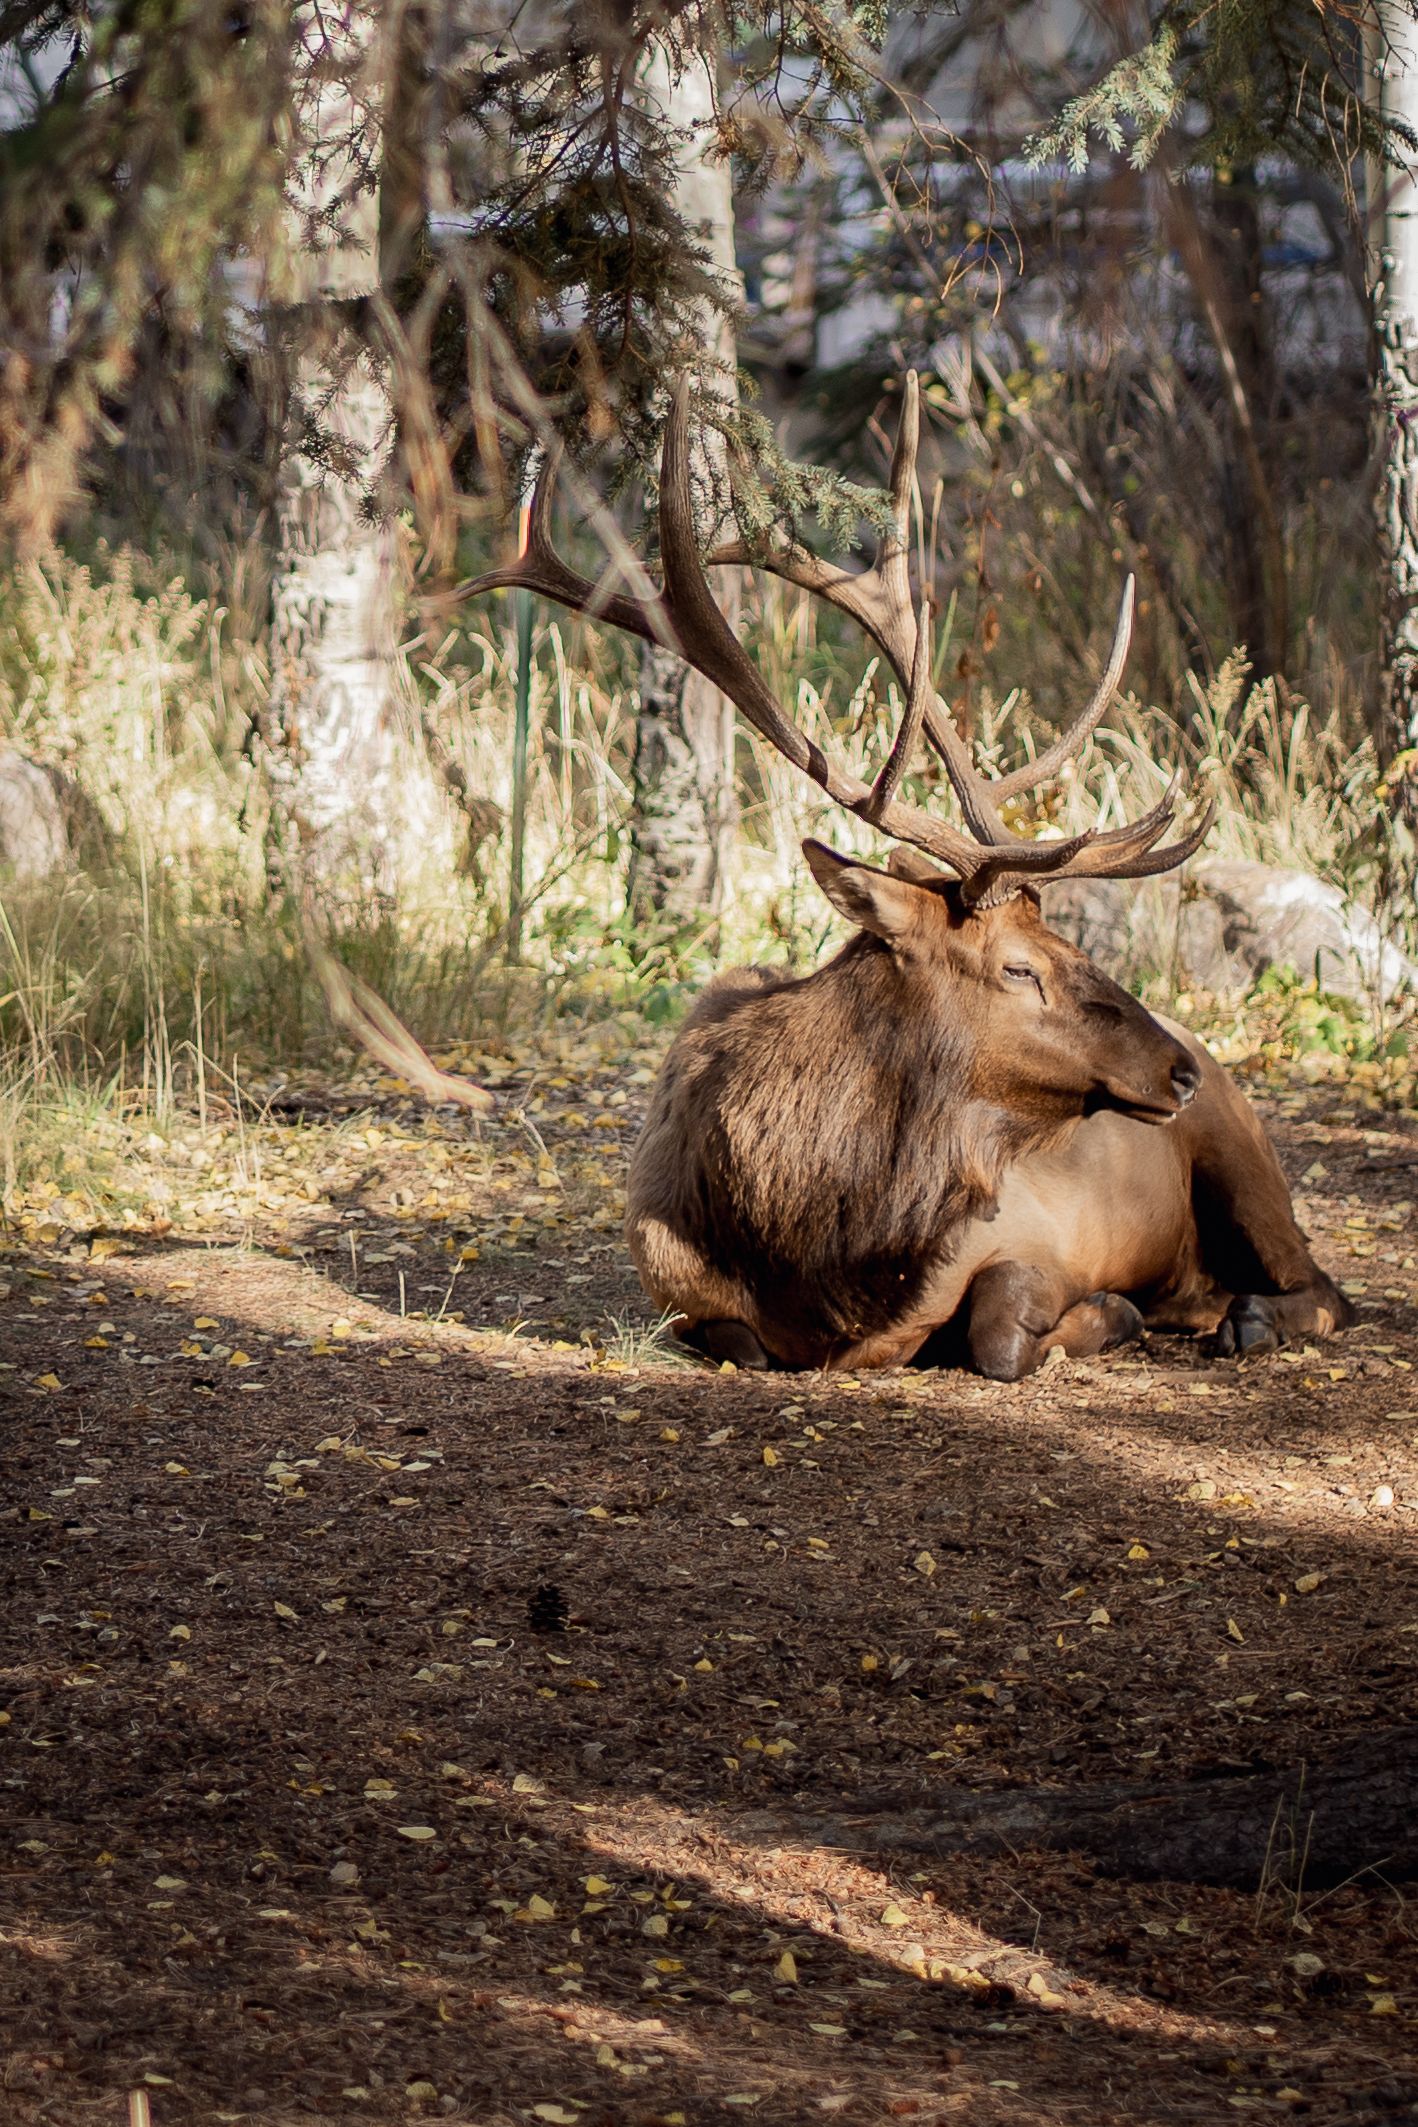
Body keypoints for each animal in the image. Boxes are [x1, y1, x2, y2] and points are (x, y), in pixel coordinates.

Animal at [465, 374, 1351, 1378]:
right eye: (1019, 966)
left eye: (1065, 938)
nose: (1180, 1068)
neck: (812, 1242)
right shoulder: (679, 1293)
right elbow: (739, 1340)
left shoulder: (1029, 1231)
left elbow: (998, 1332)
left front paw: (1104, 1313)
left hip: (1245, 1157)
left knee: (1326, 1287)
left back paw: (1246, 1317)